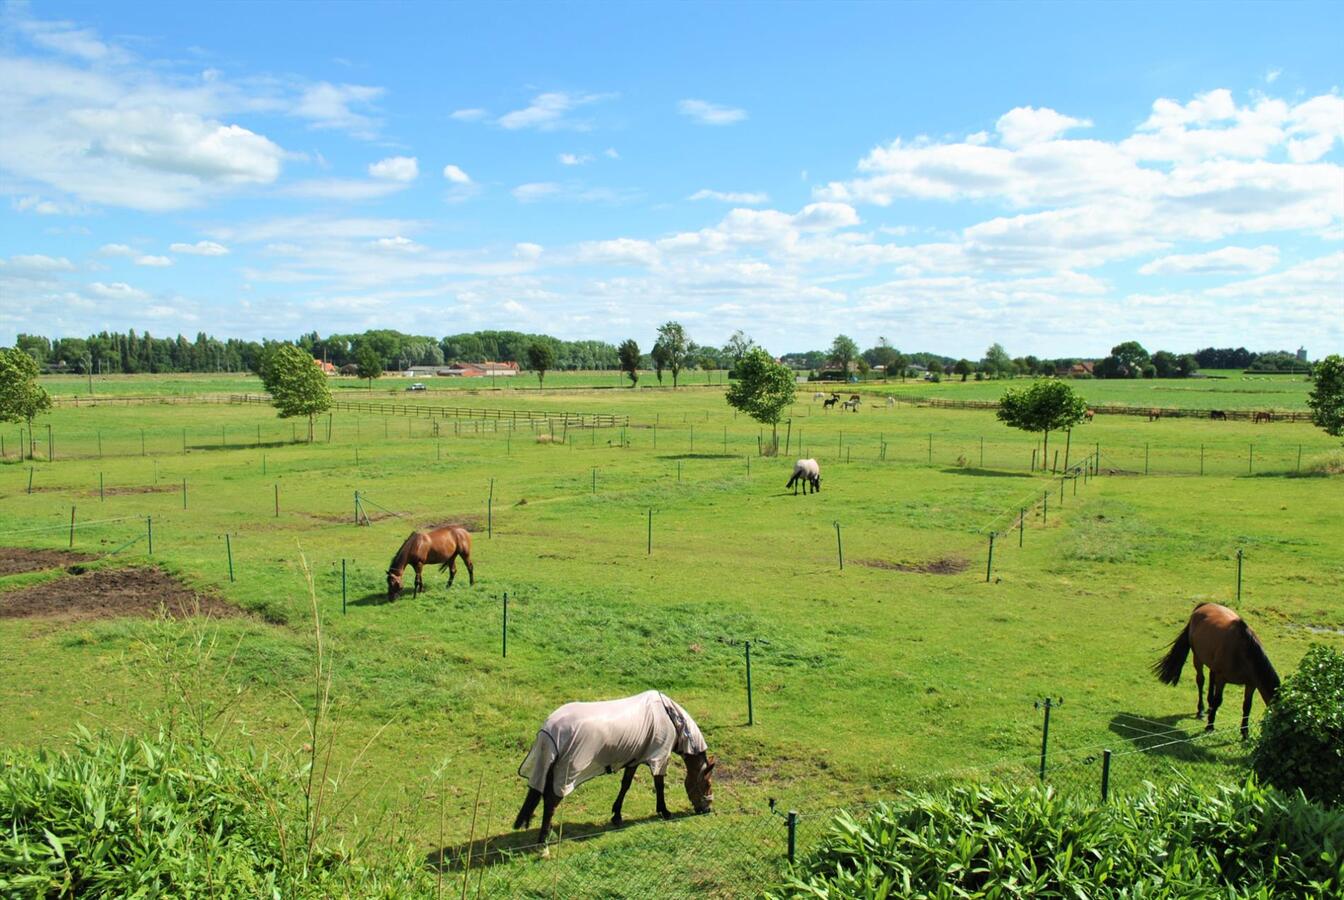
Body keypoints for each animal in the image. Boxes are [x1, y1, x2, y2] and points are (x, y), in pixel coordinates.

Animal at [1150, 601, 1274, 741]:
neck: (1243, 652)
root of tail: (1204, 605)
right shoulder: (1222, 679)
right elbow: (1218, 700)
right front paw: (1210, 726)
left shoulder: (1251, 684)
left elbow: (1247, 706)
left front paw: (1245, 732)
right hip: (1198, 658)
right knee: (1201, 681)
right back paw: (1201, 710)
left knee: (1210, 680)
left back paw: (1209, 709)